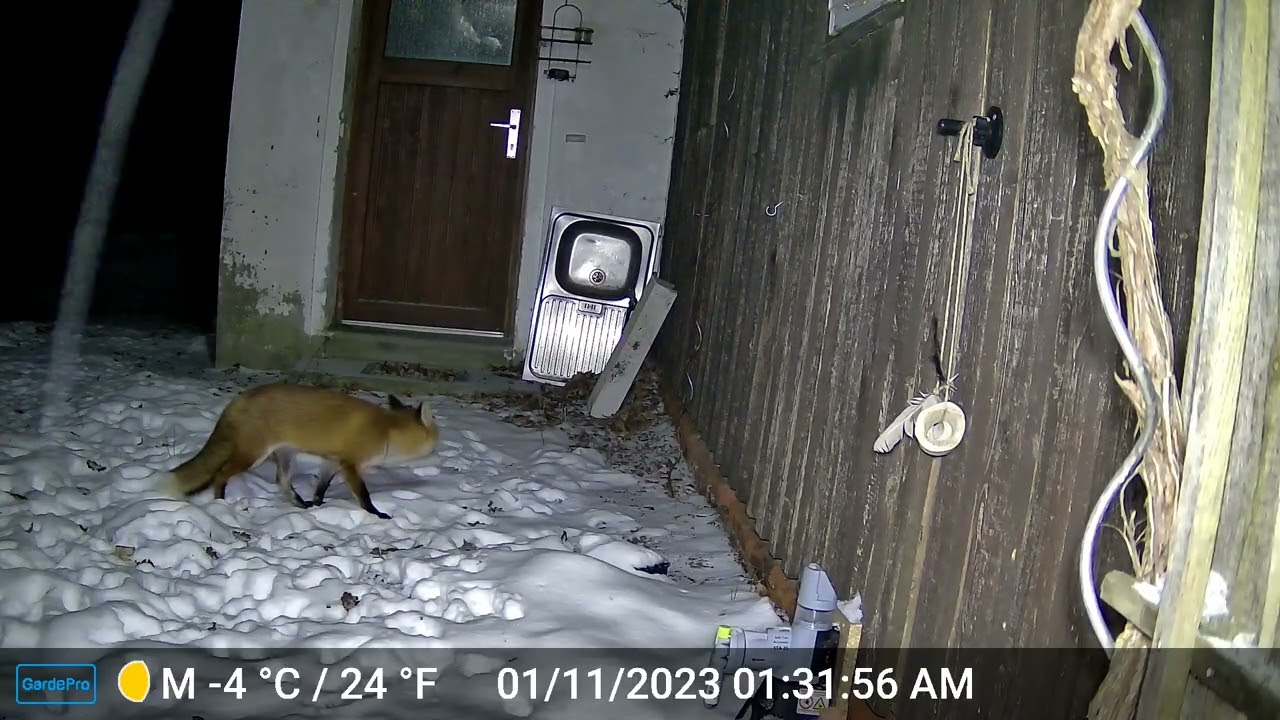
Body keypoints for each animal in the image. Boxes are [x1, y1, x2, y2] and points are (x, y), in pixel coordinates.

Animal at [164, 383, 439, 519]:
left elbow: (321, 488)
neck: (386, 432)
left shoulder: (332, 461)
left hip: (285, 455)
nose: (439, 446)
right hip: (252, 456)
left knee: (282, 482)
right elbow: (364, 495)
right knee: (220, 474)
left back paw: (300, 504)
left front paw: (318, 506)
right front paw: (377, 514)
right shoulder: (350, 464)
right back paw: (221, 503)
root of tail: (240, 399)